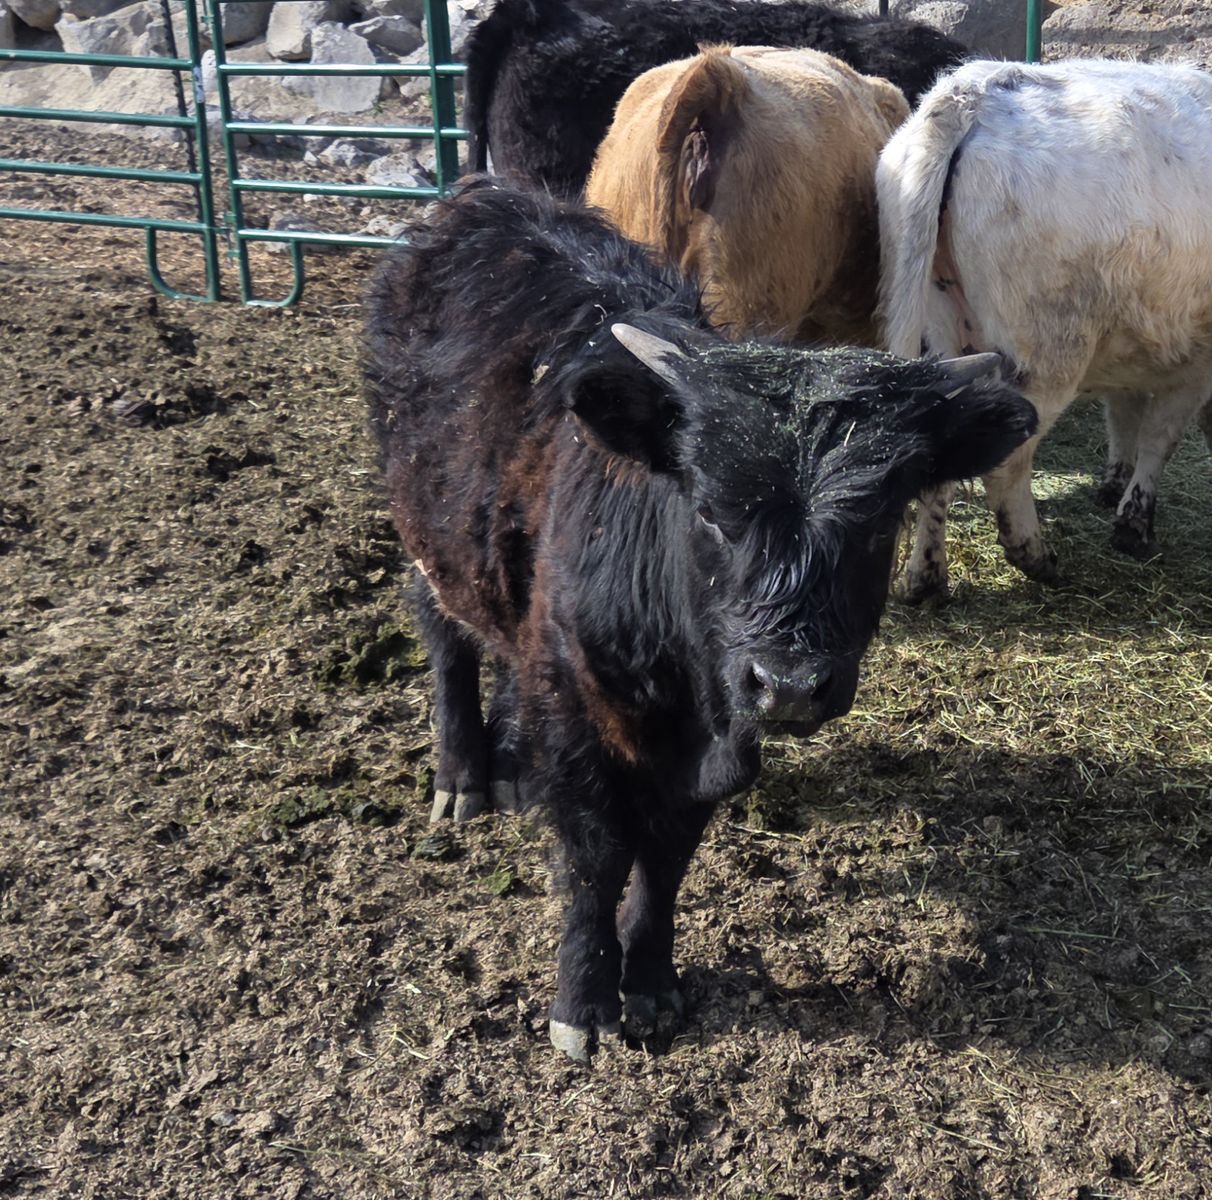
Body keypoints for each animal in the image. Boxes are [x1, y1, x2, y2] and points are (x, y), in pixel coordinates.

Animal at [365, 179, 1037, 1061]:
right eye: (713, 511)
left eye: (878, 524)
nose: (789, 684)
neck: (681, 682)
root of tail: (483, 201)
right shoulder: (582, 709)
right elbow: (597, 855)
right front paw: (583, 1001)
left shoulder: (717, 737)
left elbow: (666, 859)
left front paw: (650, 986)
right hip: (427, 535)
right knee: (447, 635)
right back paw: (463, 775)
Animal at [878, 59, 1212, 602]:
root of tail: (973, 90)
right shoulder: (1193, 364)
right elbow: (1159, 438)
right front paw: (1133, 524)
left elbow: (1124, 419)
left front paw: (1114, 487)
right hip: (1047, 354)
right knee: (1007, 465)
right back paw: (1035, 556)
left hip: (946, 338)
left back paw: (926, 577)